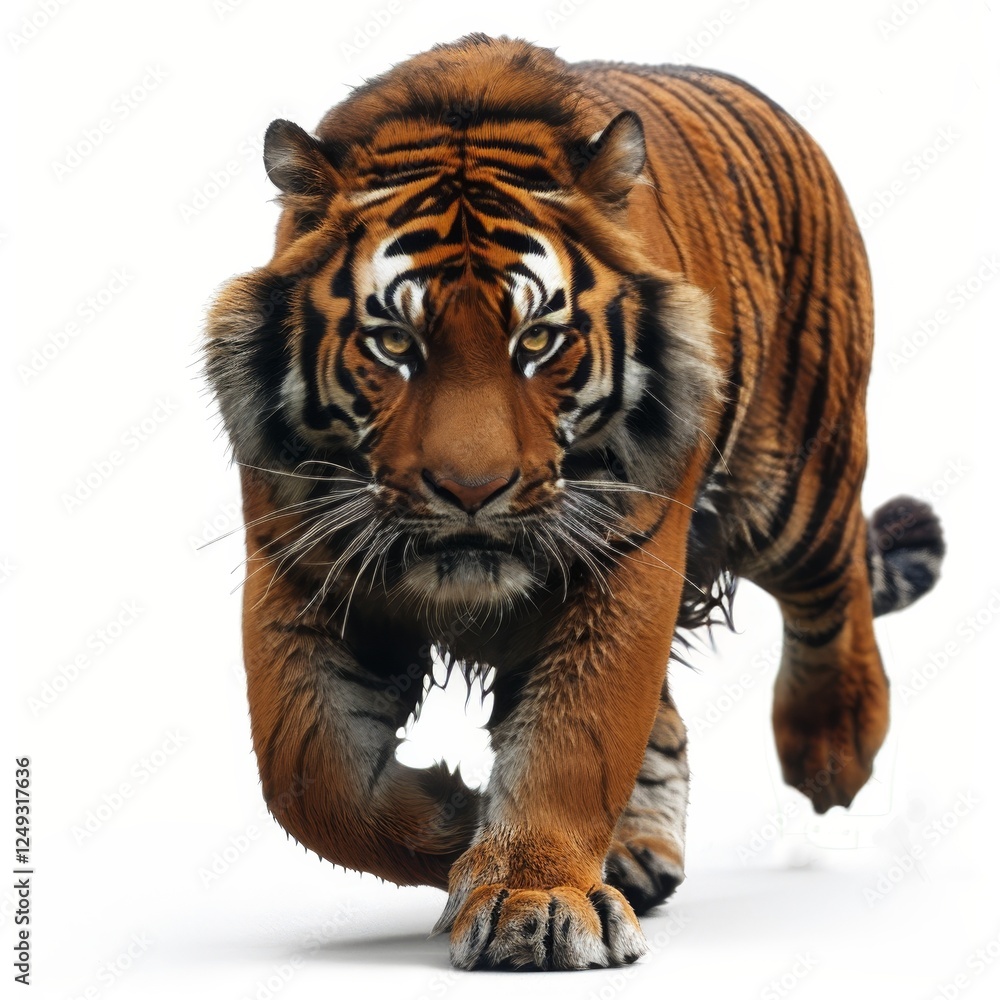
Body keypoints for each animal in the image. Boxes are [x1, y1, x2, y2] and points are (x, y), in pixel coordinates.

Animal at [204, 34, 945, 971]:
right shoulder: (298, 564)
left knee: (834, 582)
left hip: (792, 480)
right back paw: (638, 853)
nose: (472, 490)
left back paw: (832, 749)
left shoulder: (625, 558)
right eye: (394, 343)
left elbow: (575, 736)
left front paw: (535, 901)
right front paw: (461, 828)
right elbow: (308, 777)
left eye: (538, 340)